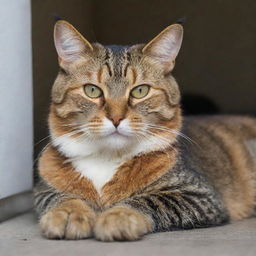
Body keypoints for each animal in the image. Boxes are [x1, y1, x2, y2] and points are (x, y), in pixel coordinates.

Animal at [34, 20, 256, 242]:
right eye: (92, 90)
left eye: (140, 91)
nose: (116, 118)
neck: (107, 157)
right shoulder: (42, 190)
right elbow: (63, 196)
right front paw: (68, 214)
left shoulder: (200, 195)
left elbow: (148, 200)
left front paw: (118, 217)